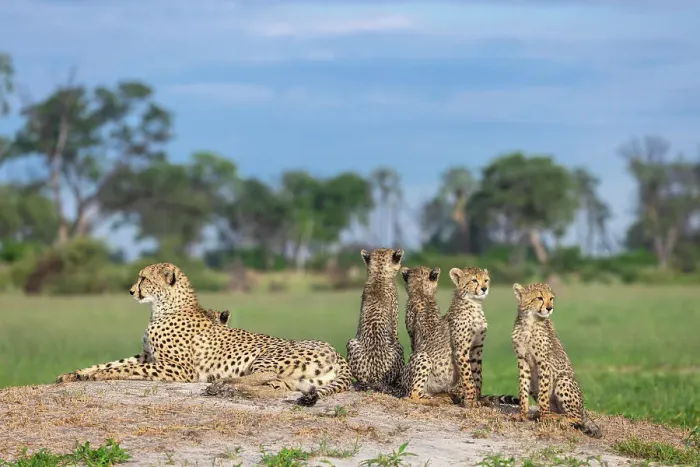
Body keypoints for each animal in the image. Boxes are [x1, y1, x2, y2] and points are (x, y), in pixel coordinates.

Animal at [55, 262, 352, 407]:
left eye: (143, 279)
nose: (130, 291)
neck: (163, 306)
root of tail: (337, 352)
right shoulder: (146, 356)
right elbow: (112, 363)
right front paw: (74, 374)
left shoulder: (179, 369)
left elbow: (123, 370)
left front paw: (94, 376)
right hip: (303, 380)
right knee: (281, 385)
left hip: (268, 355)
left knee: (264, 374)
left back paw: (222, 384)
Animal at [346, 247, 406, 394]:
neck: (379, 274)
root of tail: (375, 379)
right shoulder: (395, 327)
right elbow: (395, 333)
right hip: (399, 348)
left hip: (351, 343)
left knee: (362, 382)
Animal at [445, 266, 519, 408]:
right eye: (474, 280)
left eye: (486, 280)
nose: (484, 288)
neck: (475, 304)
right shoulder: (461, 349)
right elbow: (468, 375)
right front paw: (470, 401)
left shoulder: (477, 347)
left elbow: (477, 375)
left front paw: (477, 399)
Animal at [511, 282, 602, 438]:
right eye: (539, 298)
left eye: (551, 298)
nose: (549, 308)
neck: (529, 322)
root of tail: (583, 408)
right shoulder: (522, 360)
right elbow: (523, 389)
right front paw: (522, 414)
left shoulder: (544, 363)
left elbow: (543, 395)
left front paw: (545, 417)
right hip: (535, 386)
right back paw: (542, 414)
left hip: (563, 380)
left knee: (576, 418)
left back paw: (556, 418)